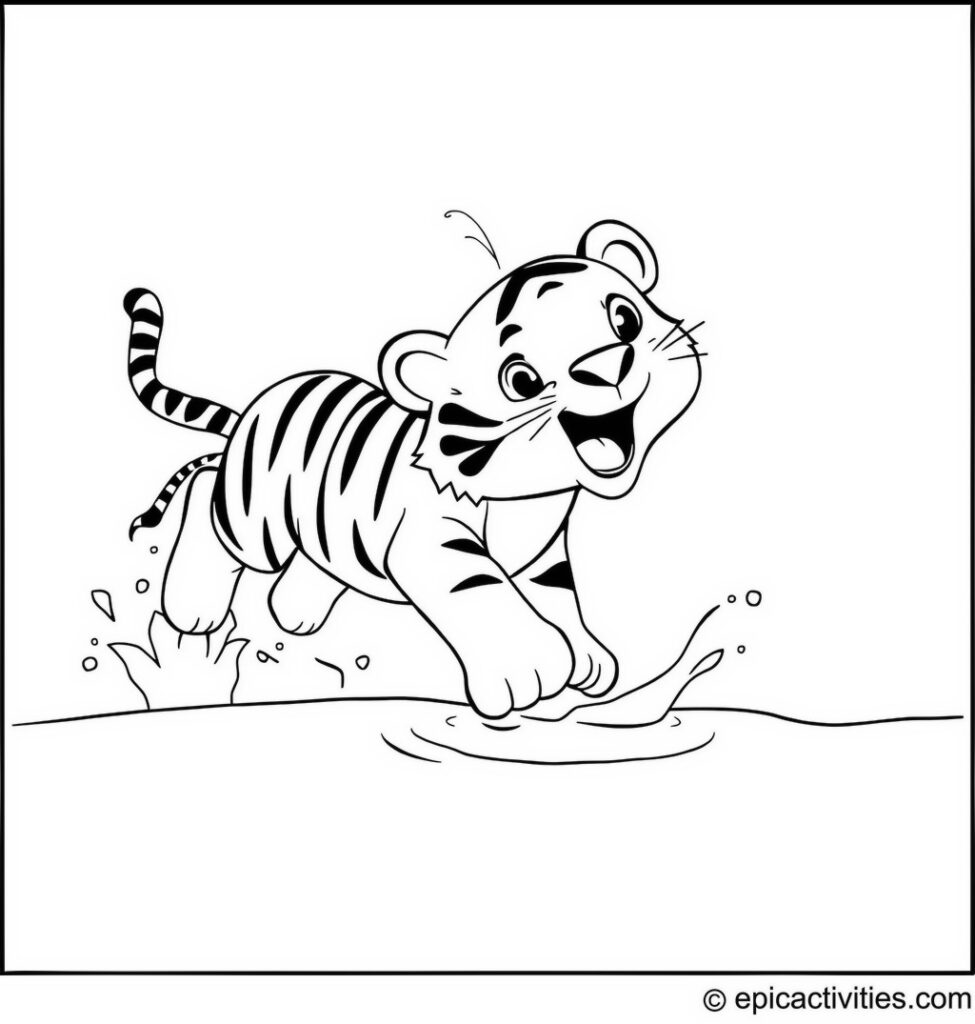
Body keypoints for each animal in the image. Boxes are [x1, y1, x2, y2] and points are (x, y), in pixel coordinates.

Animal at [124, 219, 703, 719]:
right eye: (521, 380)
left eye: (624, 318)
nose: (606, 368)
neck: (532, 498)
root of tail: (256, 405)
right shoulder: (431, 541)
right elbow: (480, 591)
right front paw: (530, 671)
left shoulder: (539, 556)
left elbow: (558, 598)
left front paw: (588, 660)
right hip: (255, 515)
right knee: (208, 497)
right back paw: (192, 611)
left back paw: (295, 614)